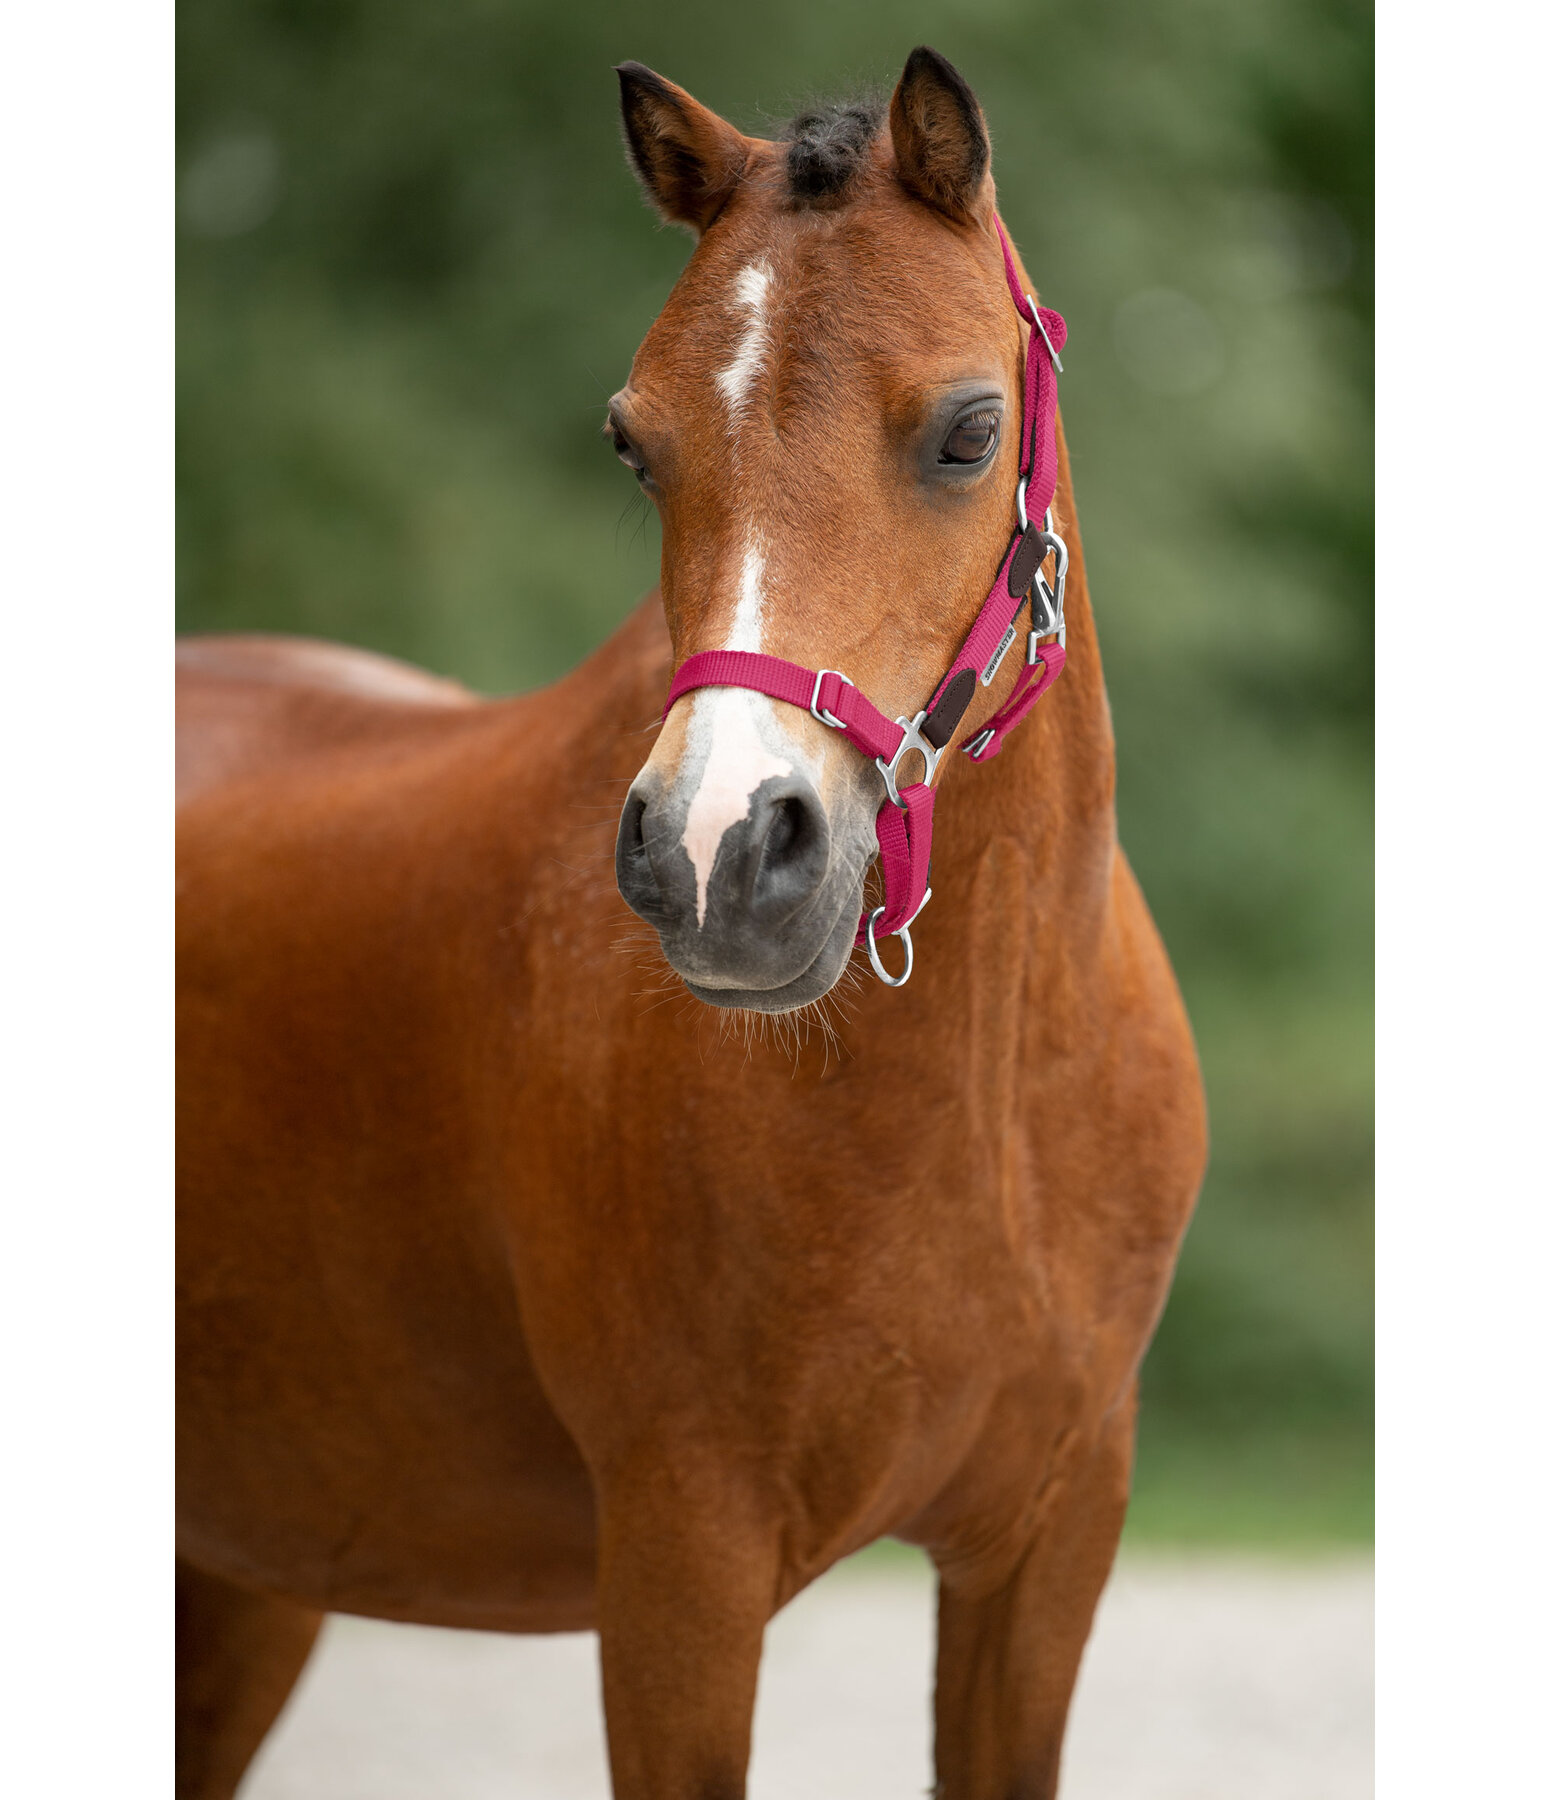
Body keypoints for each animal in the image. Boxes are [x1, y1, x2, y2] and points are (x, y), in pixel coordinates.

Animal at [175, 42, 1202, 1800]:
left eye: (967, 431)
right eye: (633, 445)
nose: (719, 855)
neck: (988, 1102)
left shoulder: (1045, 1551)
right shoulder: (681, 1563)